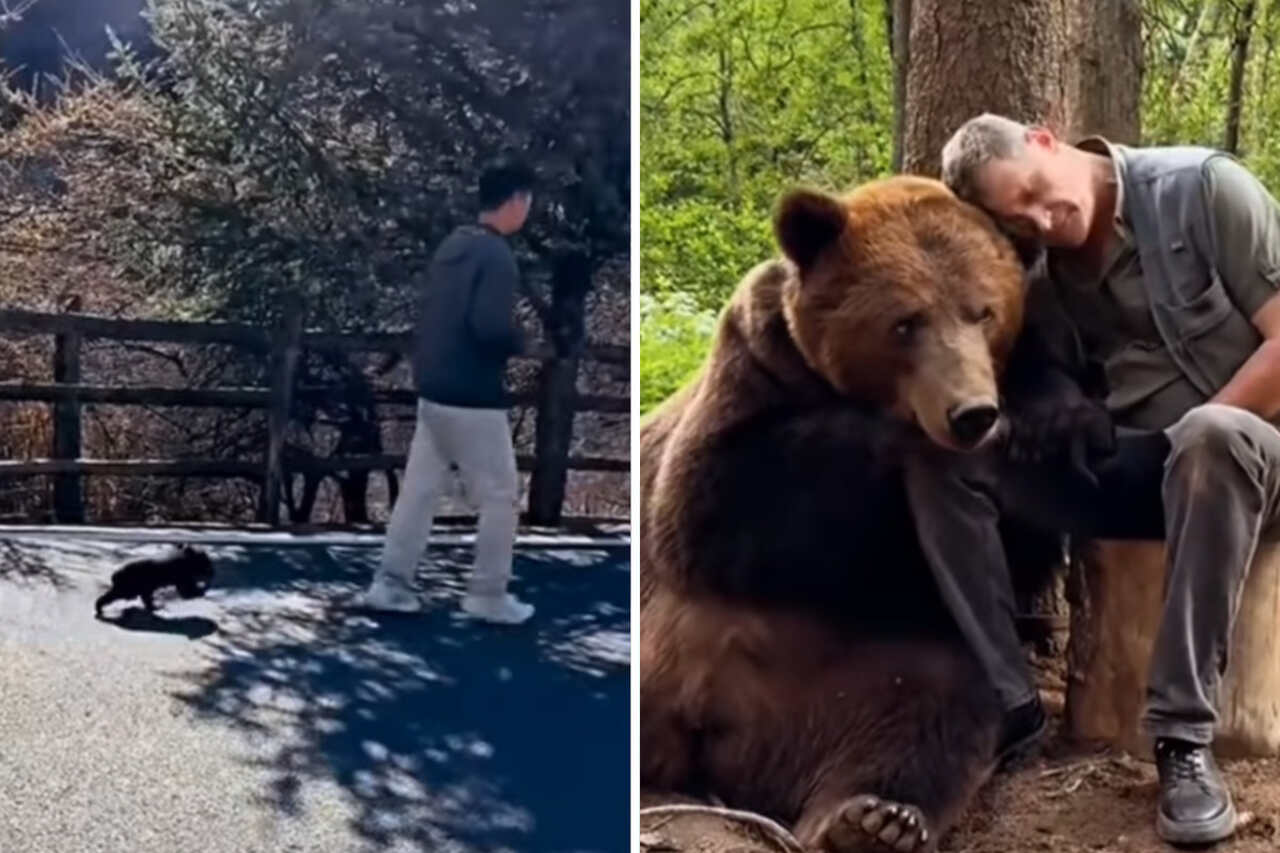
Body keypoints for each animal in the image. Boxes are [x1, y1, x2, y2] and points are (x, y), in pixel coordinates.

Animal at [640, 174, 1039, 850]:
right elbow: (711, 502)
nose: (972, 413)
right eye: (905, 322)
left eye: (983, 311)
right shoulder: (753, 364)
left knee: (934, 717)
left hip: (866, 681)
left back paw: (873, 819)